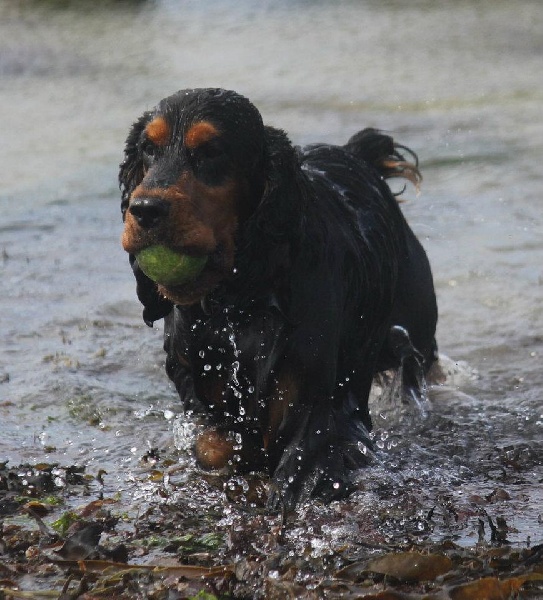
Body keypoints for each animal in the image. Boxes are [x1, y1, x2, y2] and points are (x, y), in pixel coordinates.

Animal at [119, 88, 438, 510]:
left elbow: (301, 457)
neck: (239, 296)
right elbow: (216, 444)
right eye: (147, 148)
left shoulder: (309, 389)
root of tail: (355, 153)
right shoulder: (195, 378)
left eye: (211, 150)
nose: (144, 210)